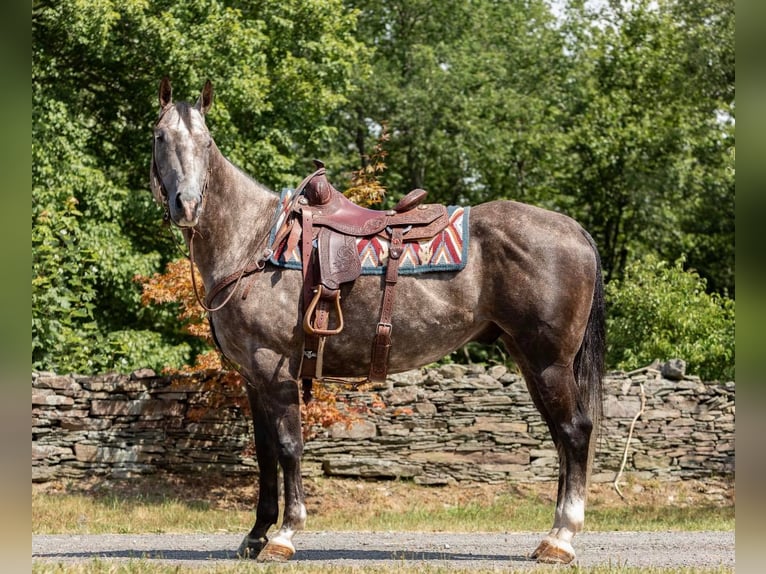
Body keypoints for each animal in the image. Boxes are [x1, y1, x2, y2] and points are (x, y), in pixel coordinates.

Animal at [150, 77, 608, 568]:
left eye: (207, 142)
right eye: (161, 137)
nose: (187, 205)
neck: (255, 240)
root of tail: (575, 231)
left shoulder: (276, 370)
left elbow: (290, 448)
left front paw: (284, 535)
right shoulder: (253, 379)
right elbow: (265, 454)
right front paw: (255, 535)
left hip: (549, 363)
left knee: (574, 432)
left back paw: (561, 538)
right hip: (529, 359)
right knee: (561, 437)